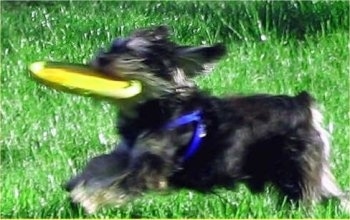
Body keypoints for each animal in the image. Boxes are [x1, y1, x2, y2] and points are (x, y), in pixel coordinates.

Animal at [64, 24, 348, 214]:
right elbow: (100, 162)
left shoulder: (152, 167)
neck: (155, 107)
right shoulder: (131, 153)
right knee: (335, 193)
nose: (101, 58)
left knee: (304, 196)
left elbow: (120, 185)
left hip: (294, 167)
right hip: (312, 167)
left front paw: (85, 200)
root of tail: (304, 105)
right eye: (113, 46)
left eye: (133, 55)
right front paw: (77, 183)